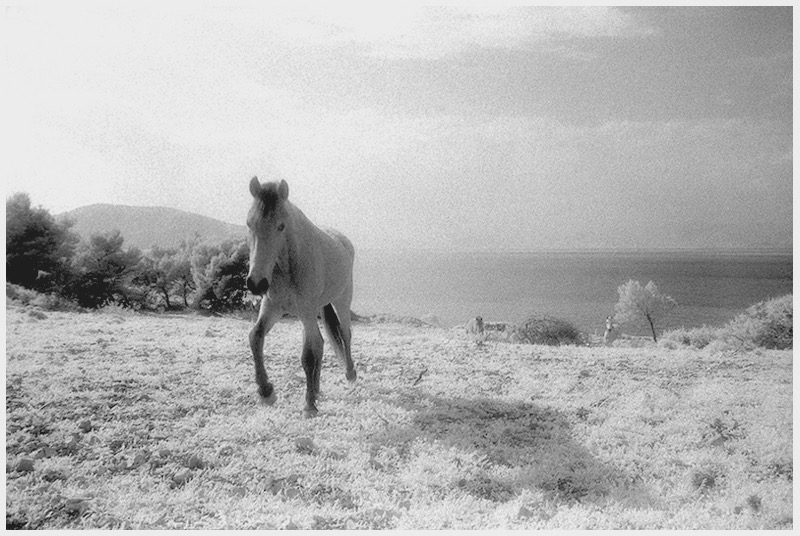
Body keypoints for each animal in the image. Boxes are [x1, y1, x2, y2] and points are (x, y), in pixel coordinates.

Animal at [245, 176, 357, 418]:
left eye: (281, 226)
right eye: (250, 224)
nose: (256, 283)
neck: (287, 266)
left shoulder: (306, 311)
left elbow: (308, 355)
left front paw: (308, 405)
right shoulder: (272, 307)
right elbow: (256, 336)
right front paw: (266, 390)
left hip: (341, 301)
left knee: (344, 334)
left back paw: (350, 373)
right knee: (321, 343)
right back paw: (316, 389)